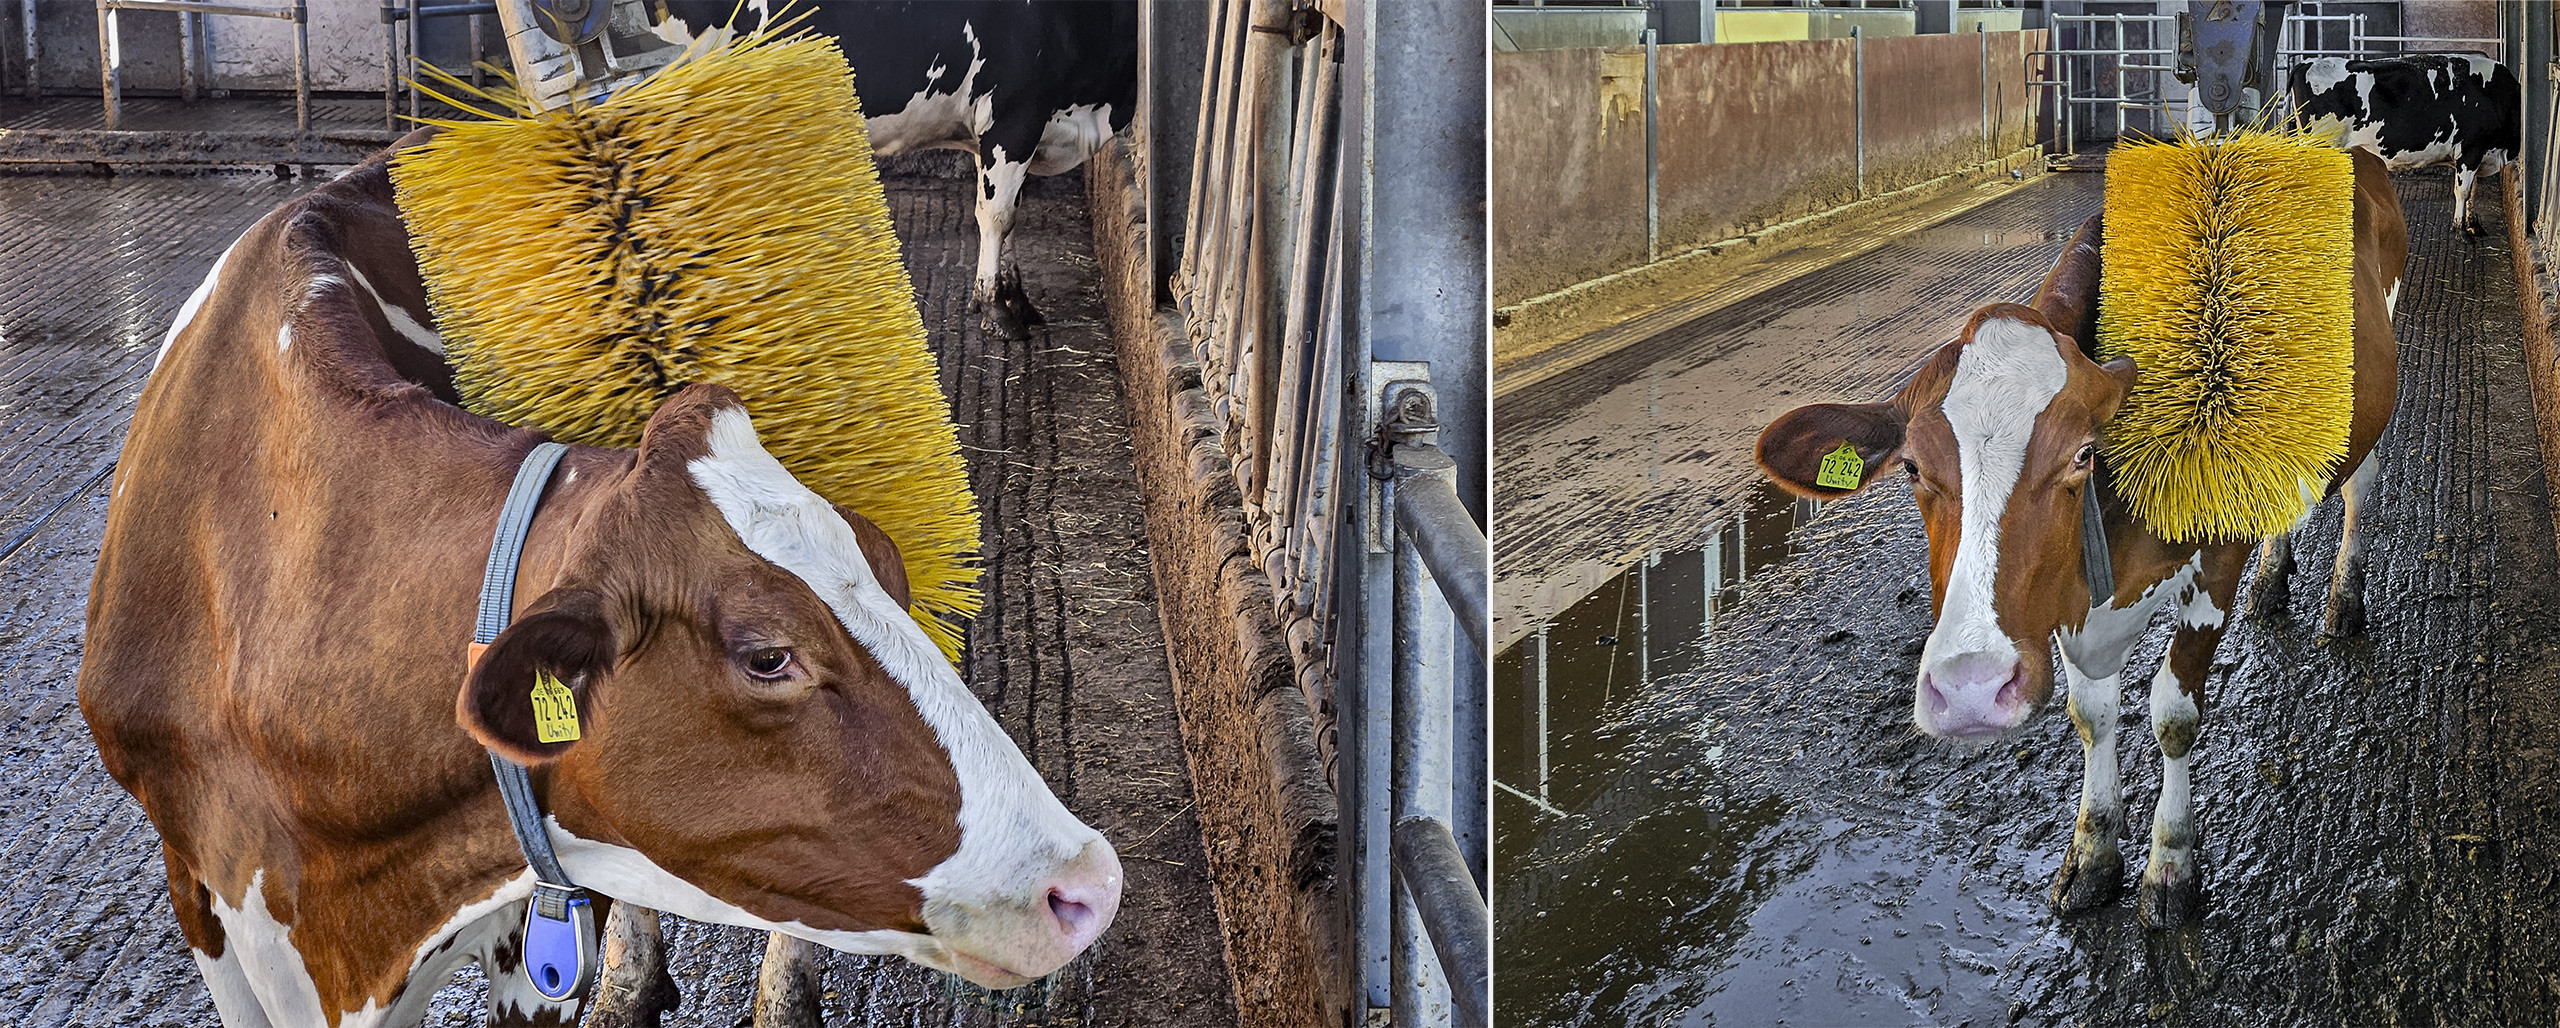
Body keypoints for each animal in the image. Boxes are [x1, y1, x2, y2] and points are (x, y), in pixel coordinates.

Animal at [1751, 146, 2406, 925]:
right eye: (1911, 466)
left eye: (2082, 455)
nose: (1969, 690)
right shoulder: (2065, 610)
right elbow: (2091, 715)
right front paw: (2094, 853)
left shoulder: (2214, 565)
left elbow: (2173, 714)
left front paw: (2170, 867)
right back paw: (2274, 582)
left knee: (2359, 493)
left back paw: (2345, 601)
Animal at [2304, 54, 2519, 236]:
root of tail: (2309, 63)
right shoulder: (2470, 150)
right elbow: (2463, 191)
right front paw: (2460, 230)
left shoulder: (2478, 153)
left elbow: (2473, 190)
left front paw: (2474, 225)